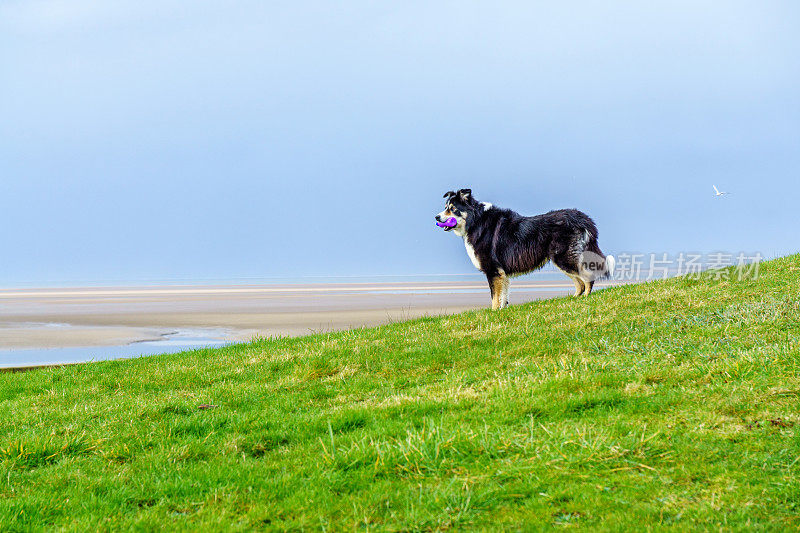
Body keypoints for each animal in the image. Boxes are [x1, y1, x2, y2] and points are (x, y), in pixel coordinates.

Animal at [438, 189, 612, 310]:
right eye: (445, 207)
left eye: (452, 208)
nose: (436, 217)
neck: (476, 220)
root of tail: (582, 218)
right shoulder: (501, 273)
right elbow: (503, 296)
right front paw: (501, 311)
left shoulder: (493, 270)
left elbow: (494, 297)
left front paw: (493, 313)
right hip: (561, 260)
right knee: (579, 282)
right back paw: (573, 299)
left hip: (563, 258)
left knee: (587, 277)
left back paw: (586, 298)